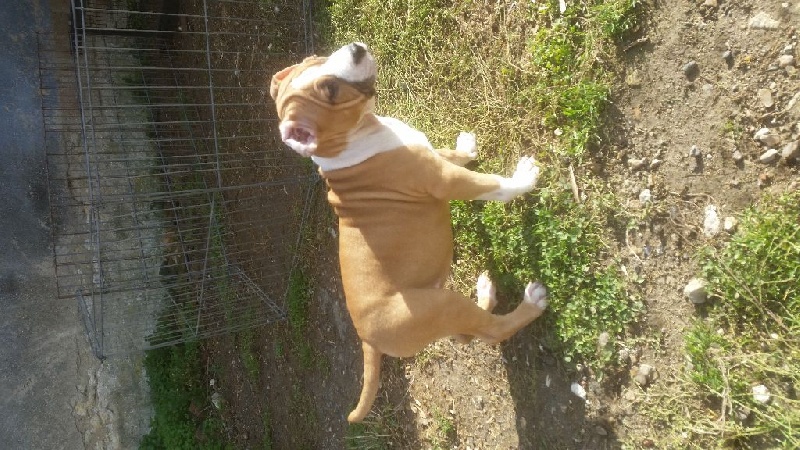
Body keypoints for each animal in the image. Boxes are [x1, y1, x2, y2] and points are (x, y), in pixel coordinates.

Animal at [270, 42, 548, 423]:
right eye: (330, 91)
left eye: (317, 61)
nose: (356, 48)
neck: (352, 138)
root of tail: (368, 341)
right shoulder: (445, 181)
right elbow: (490, 185)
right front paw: (523, 179)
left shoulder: (432, 155)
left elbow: (450, 154)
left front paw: (466, 148)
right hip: (439, 306)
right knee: (491, 332)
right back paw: (531, 302)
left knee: (471, 332)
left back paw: (486, 291)